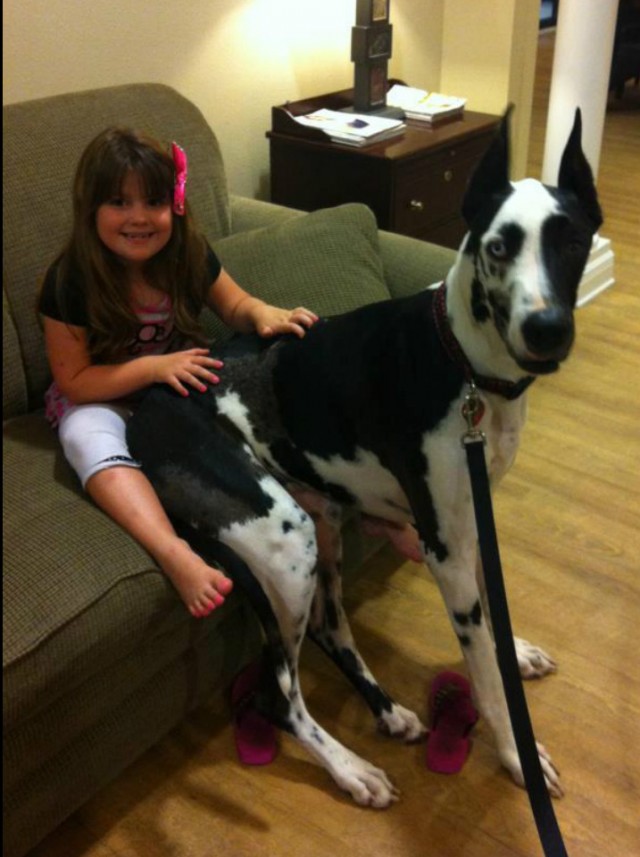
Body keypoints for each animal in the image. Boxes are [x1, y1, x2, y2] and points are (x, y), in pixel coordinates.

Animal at [129, 107, 600, 804]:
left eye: (572, 243)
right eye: (498, 246)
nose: (547, 330)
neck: (464, 364)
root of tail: (146, 406)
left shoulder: (471, 522)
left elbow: (493, 619)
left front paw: (513, 650)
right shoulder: (444, 546)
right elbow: (483, 670)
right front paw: (517, 754)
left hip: (321, 522)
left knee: (330, 631)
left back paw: (386, 710)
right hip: (285, 538)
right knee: (278, 695)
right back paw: (351, 769)